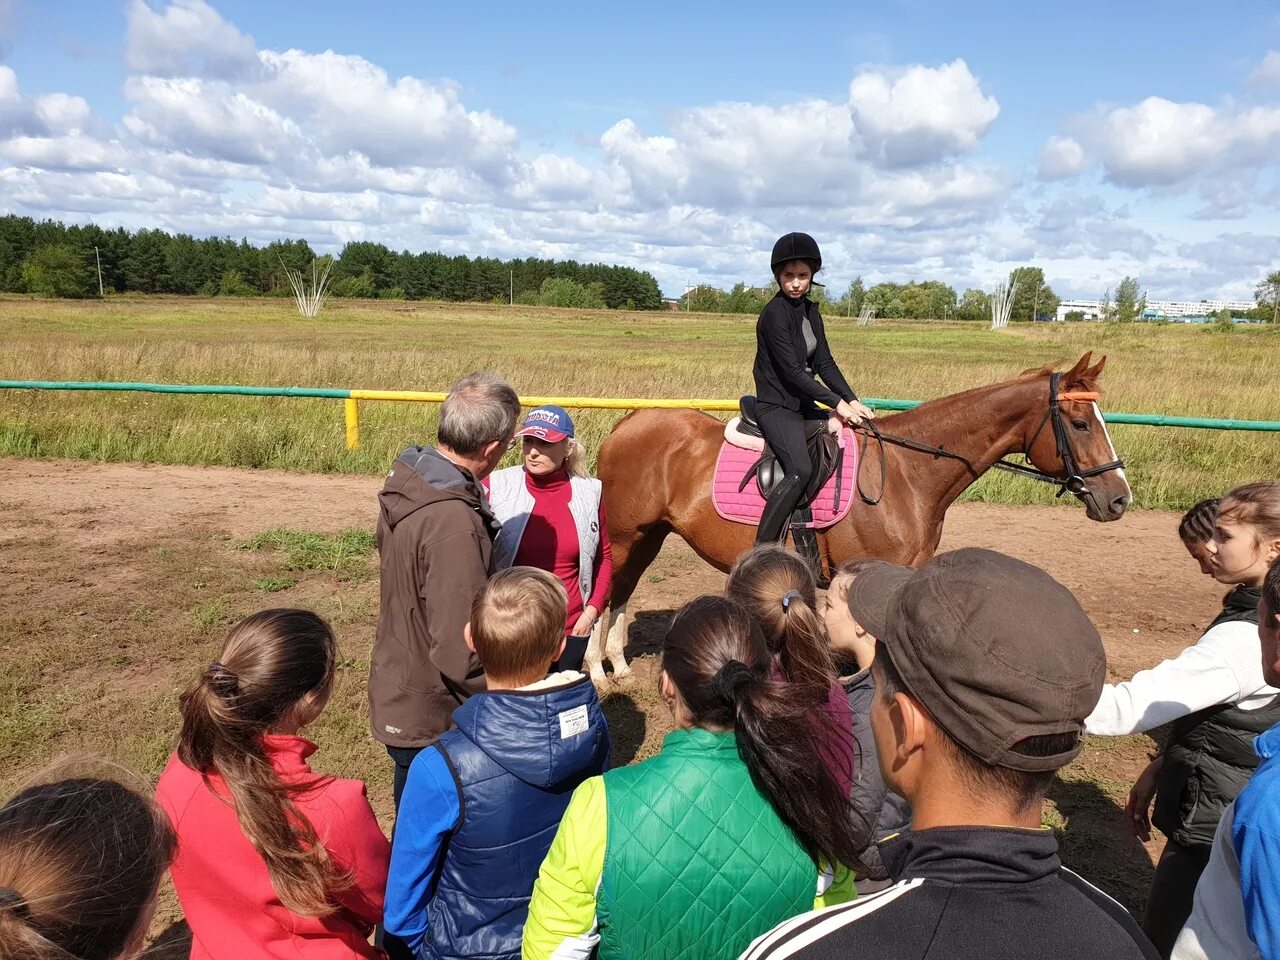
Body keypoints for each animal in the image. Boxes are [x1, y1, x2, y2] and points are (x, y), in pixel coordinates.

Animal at [586, 355, 1136, 686]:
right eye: (1080, 424)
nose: (1118, 500)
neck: (908, 473)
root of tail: (628, 422)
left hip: (651, 535)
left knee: (624, 589)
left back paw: (618, 664)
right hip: (626, 534)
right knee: (608, 585)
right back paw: (594, 669)